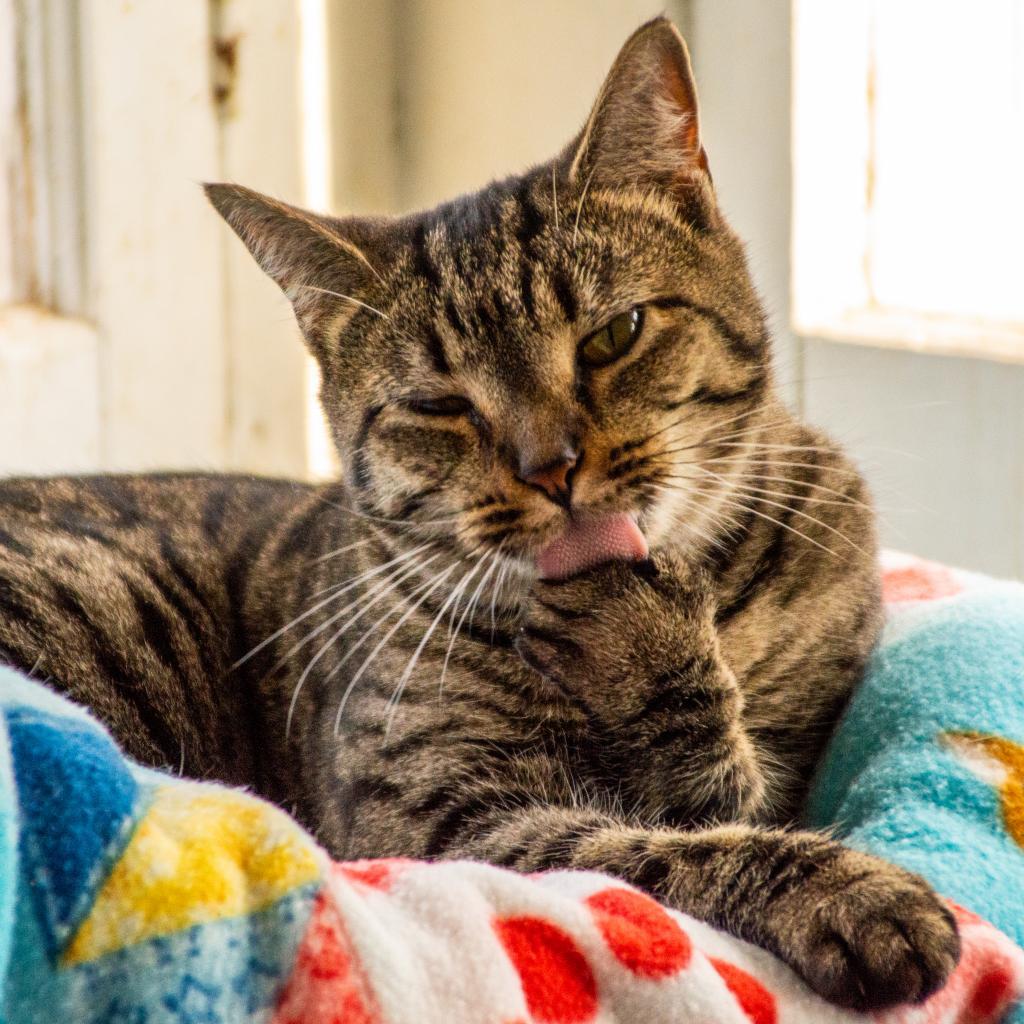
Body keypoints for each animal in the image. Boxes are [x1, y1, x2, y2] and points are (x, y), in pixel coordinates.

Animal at [2, 18, 958, 1015]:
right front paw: (852, 891)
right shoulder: (437, 818)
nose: (551, 467)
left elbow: (714, 792)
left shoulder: (800, 737)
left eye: (613, 335)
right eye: (440, 405)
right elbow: (658, 847)